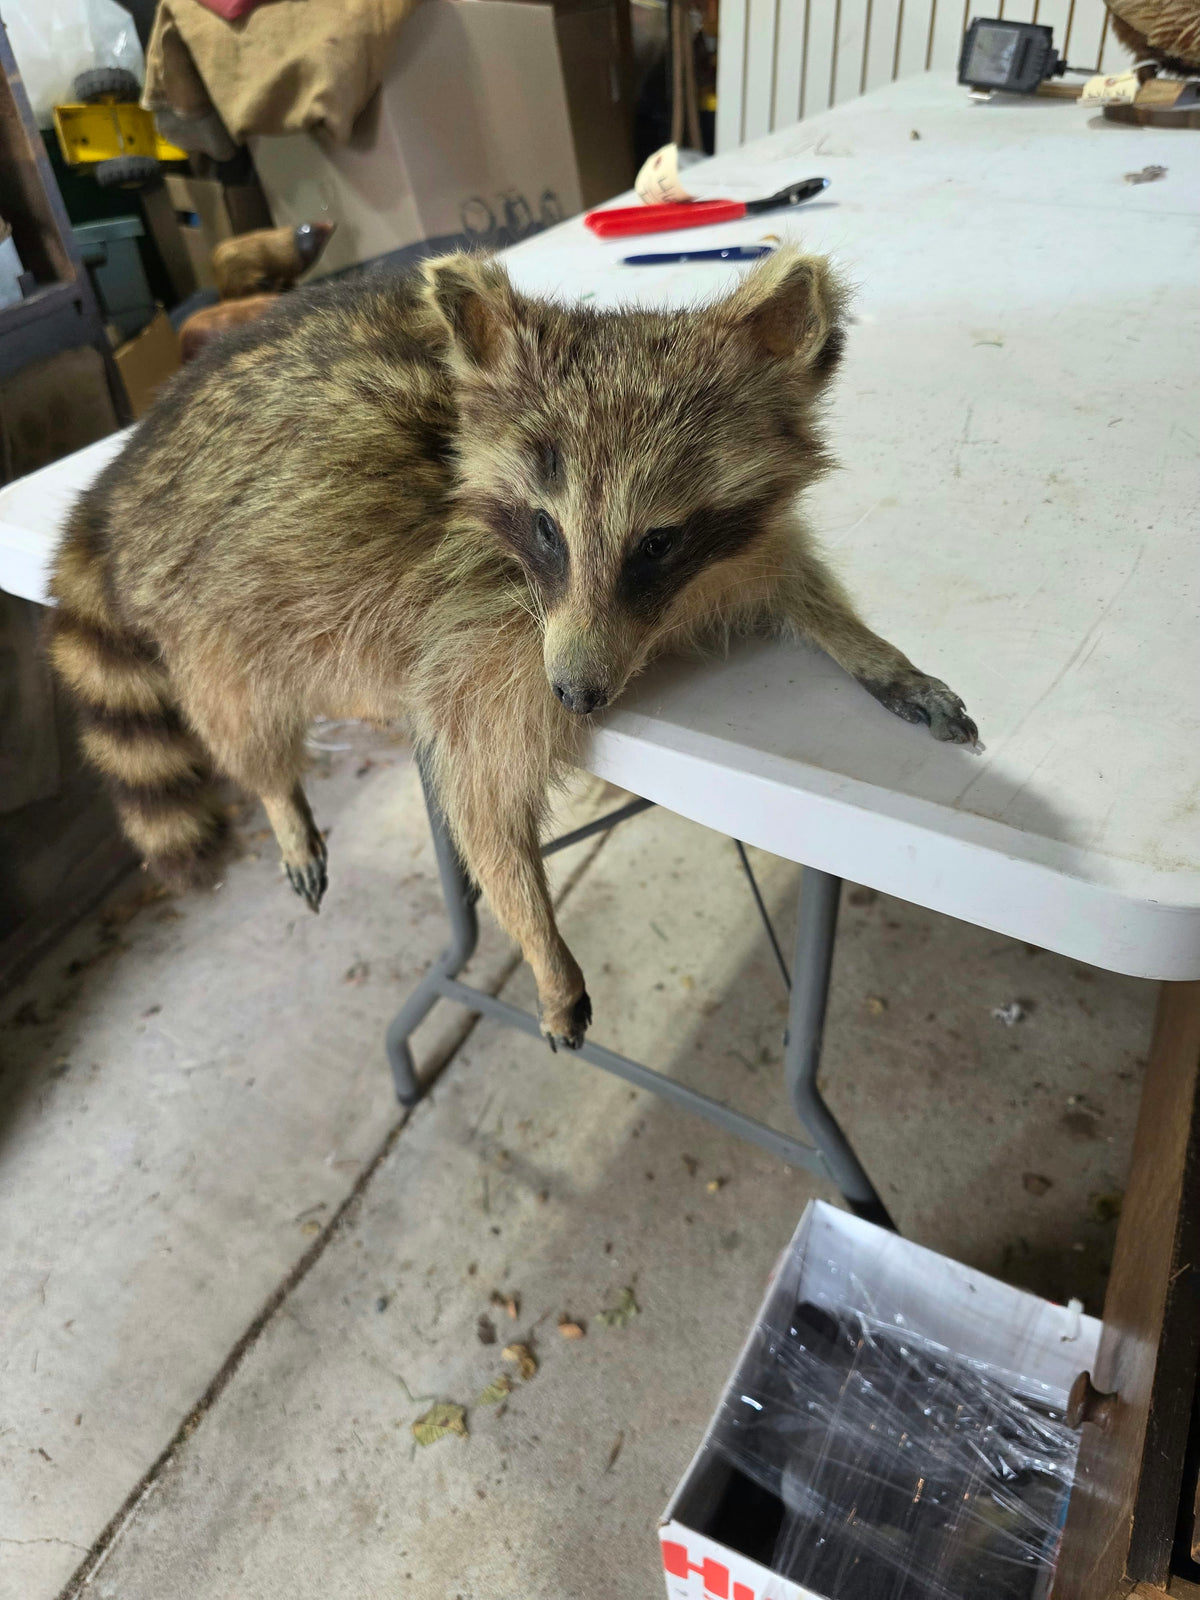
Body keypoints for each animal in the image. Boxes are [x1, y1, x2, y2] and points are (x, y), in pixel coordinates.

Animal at [48, 248, 975, 1049]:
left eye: (659, 542)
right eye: (545, 528)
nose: (578, 694)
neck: (662, 615)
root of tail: (121, 469)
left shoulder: (729, 555)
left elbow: (791, 579)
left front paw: (871, 649)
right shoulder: (482, 630)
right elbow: (480, 793)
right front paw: (540, 941)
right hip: (204, 602)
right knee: (237, 710)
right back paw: (278, 794)